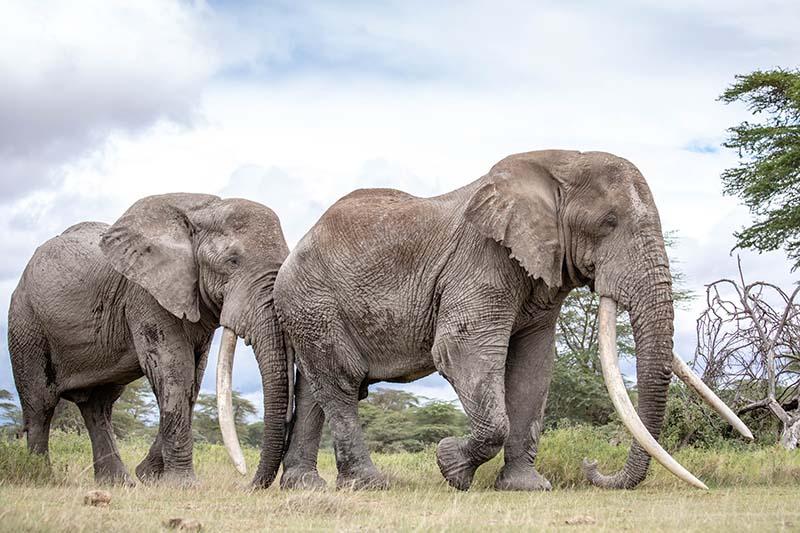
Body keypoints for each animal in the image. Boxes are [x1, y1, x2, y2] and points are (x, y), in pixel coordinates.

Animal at [8, 193, 291, 487]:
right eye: (232, 261)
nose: (246, 484)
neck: (203, 210)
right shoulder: (144, 294)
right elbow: (174, 368)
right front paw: (181, 485)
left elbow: (193, 378)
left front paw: (150, 476)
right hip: (25, 321)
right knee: (40, 403)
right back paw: (41, 478)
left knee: (99, 407)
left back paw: (119, 483)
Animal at [265, 150, 751, 492]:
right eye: (608, 222)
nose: (592, 467)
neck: (561, 163)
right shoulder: (480, 257)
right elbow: (460, 350)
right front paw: (450, 466)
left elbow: (533, 368)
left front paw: (526, 487)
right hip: (311, 300)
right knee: (341, 381)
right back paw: (371, 484)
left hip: (309, 307)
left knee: (316, 388)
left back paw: (306, 486)